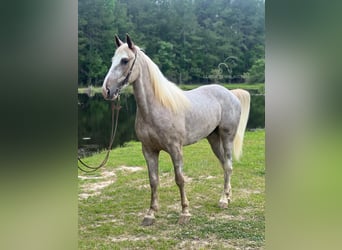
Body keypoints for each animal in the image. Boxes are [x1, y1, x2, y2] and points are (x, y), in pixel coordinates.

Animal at [102, 33, 251, 227]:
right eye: (113, 60)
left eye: (125, 60)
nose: (106, 90)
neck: (157, 107)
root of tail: (231, 93)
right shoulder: (148, 150)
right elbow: (153, 181)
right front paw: (150, 214)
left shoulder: (175, 149)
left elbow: (180, 179)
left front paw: (185, 213)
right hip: (213, 139)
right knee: (224, 166)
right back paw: (227, 196)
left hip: (227, 137)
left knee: (228, 165)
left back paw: (224, 200)